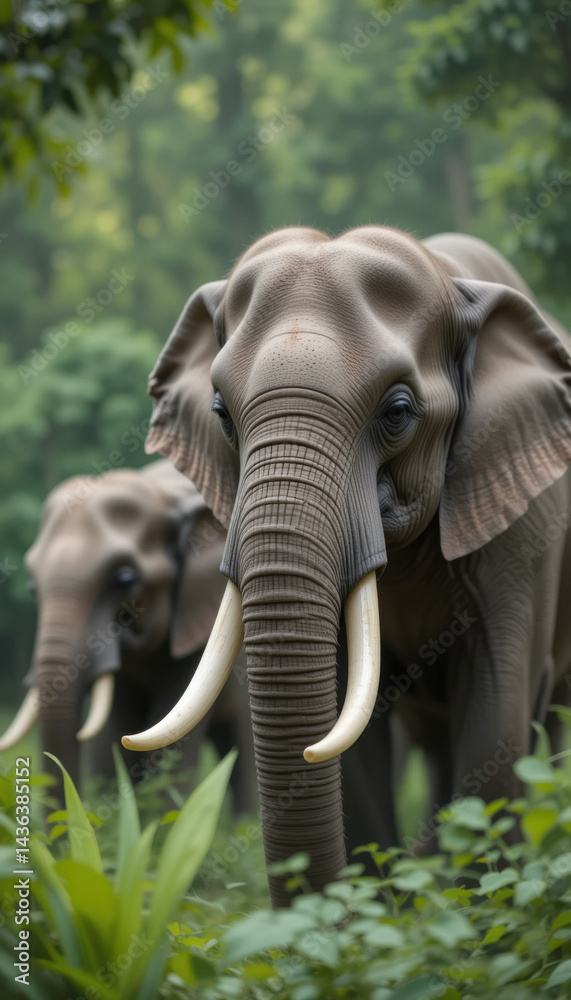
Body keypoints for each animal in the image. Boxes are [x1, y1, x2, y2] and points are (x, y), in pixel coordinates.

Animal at [122, 227, 571, 906]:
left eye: (398, 411)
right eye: (221, 413)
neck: (451, 280)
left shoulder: (524, 522)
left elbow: (497, 713)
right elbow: (345, 724)